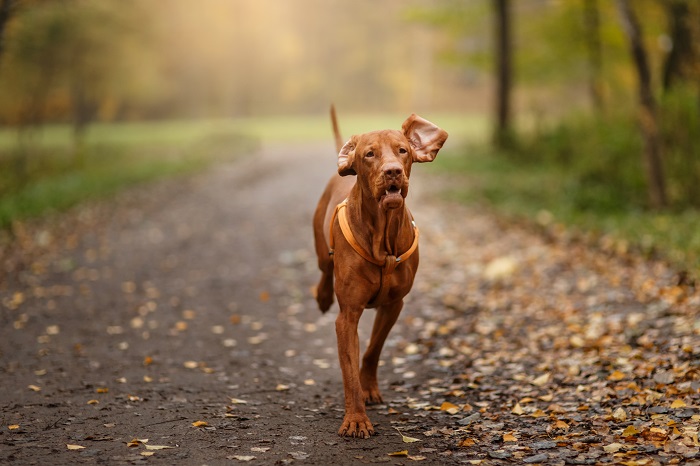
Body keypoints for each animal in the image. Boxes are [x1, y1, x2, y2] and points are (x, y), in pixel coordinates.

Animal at [314, 108, 448, 436]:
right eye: (370, 154)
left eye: (403, 151)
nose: (392, 172)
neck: (382, 236)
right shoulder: (347, 316)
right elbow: (348, 371)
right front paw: (355, 419)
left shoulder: (393, 305)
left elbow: (372, 350)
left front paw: (369, 389)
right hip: (321, 249)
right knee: (324, 270)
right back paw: (322, 296)